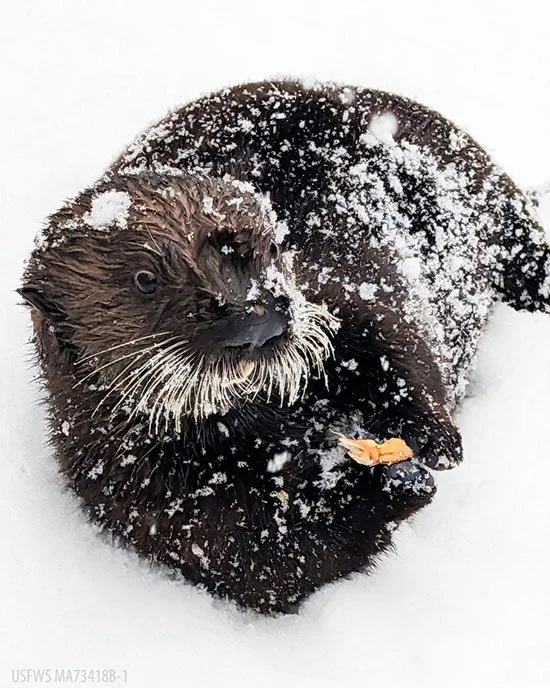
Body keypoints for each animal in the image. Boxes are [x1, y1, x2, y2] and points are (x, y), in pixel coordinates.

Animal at [19, 80, 550, 614]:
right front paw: (393, 482)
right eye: (145, 279)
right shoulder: (146, 494)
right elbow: (274, 560)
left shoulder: (332, 291)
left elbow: (391, 339)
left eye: (272, 249)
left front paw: (435, 439)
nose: (255, 317)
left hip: (484, 187)